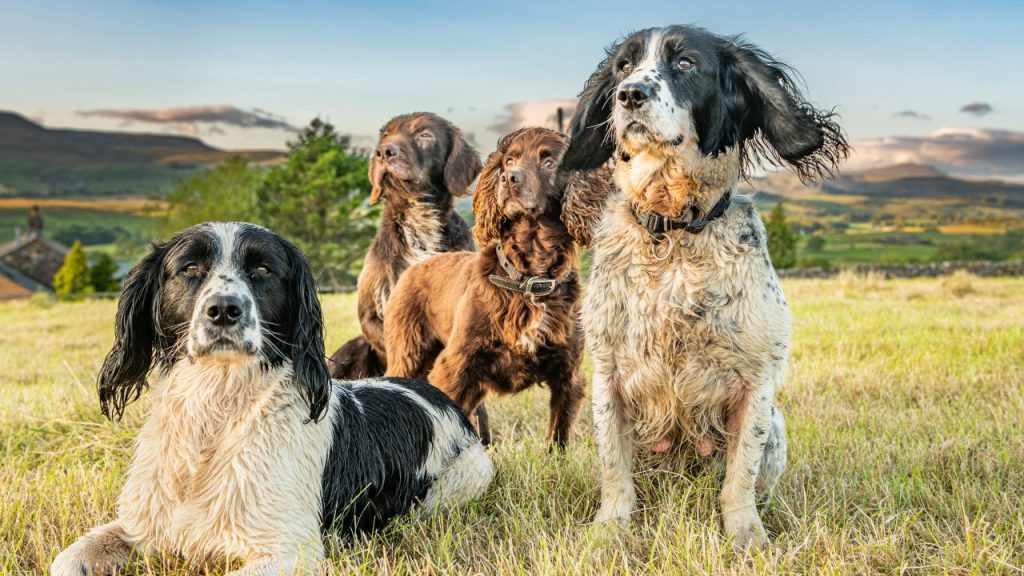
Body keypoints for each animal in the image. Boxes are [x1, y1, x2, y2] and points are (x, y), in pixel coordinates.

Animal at [382, 127, 606, 446]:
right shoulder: (455, 365)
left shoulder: (568, 372)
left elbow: (558, 436)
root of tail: (416, 266)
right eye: (509, 160)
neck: (529, 276)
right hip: (408, 354)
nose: (509, 178)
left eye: (550, 162)